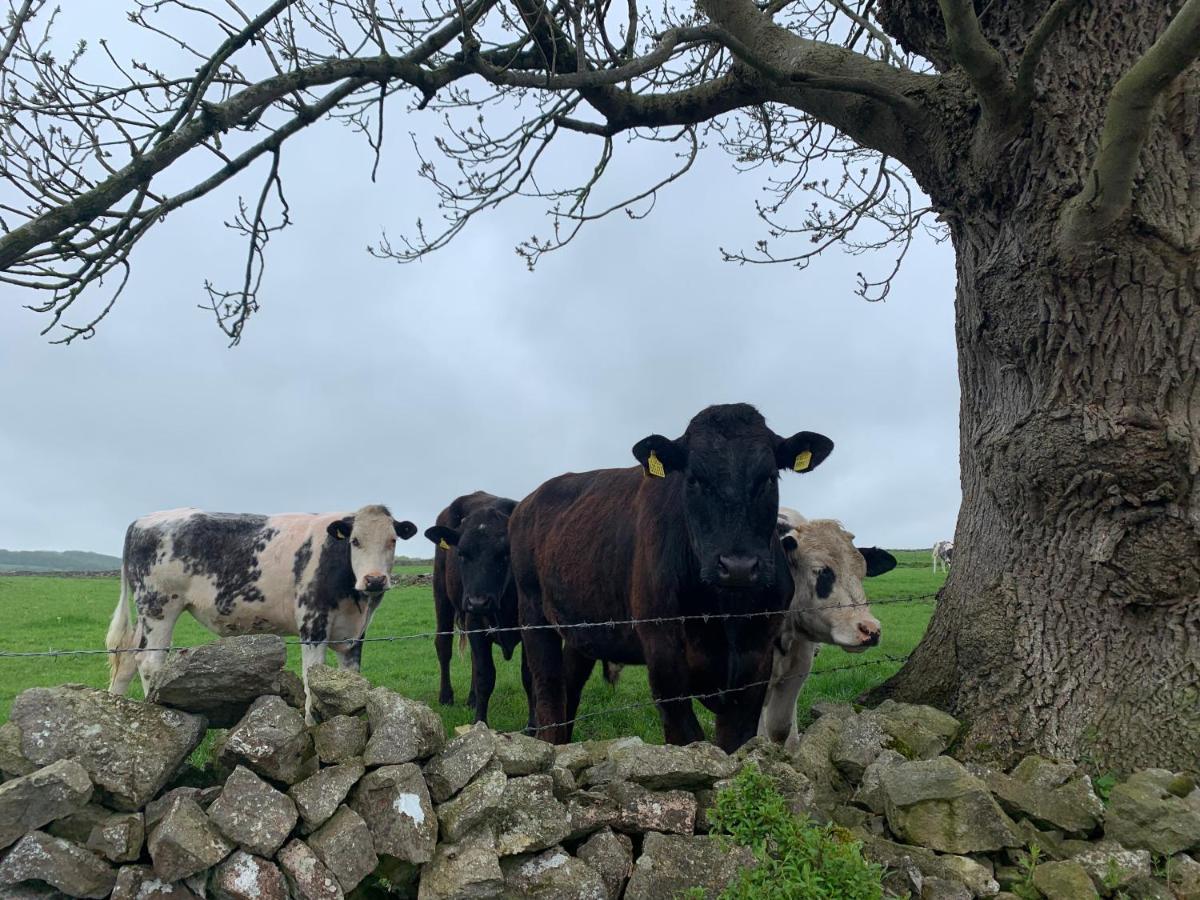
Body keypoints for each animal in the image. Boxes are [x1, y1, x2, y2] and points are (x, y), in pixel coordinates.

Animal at [108, 504, 417, 724]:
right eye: (355, 541)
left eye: (392, 540)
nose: (374, 580)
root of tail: (144, 520)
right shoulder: (313, 623)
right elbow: (312, 675)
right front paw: (311, 724)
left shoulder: (355, 633)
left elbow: (350, 677)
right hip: (159, 605)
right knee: (149, 662)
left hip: (146, 612)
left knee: (128, 659)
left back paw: (115, 707)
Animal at [506, 405, 835, 748]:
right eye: (693, 479)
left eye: (769, 477)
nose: (739, 566)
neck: (725, 612)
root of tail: (528, 501)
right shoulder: (663, 654)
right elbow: (687, 737)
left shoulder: (757, 658)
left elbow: (734, 741)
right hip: (533, 615)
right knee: (549, 691)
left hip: (582, 629)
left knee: (570, 688)